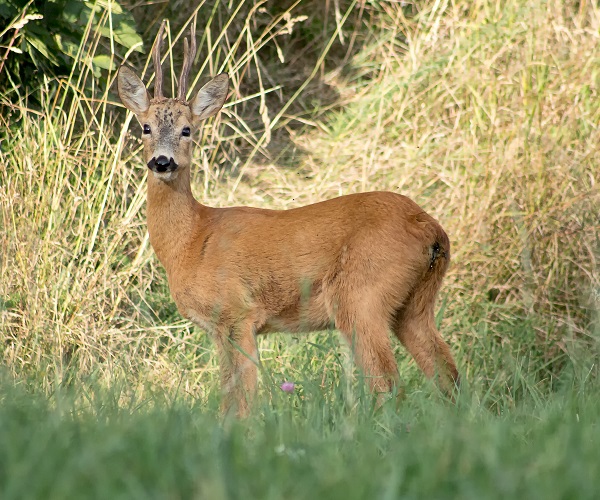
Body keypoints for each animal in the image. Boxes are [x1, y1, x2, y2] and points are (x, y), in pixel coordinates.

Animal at [119, 19, 462, 416]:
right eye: (145, 127)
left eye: (187, 129)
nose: (162, 162)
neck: (191, 240)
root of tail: (430, 227)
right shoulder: (224, 327)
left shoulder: (238, 314)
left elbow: (241, 401)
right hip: (415, 305)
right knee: (447, 375)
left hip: (360, 296)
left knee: (388, 384)